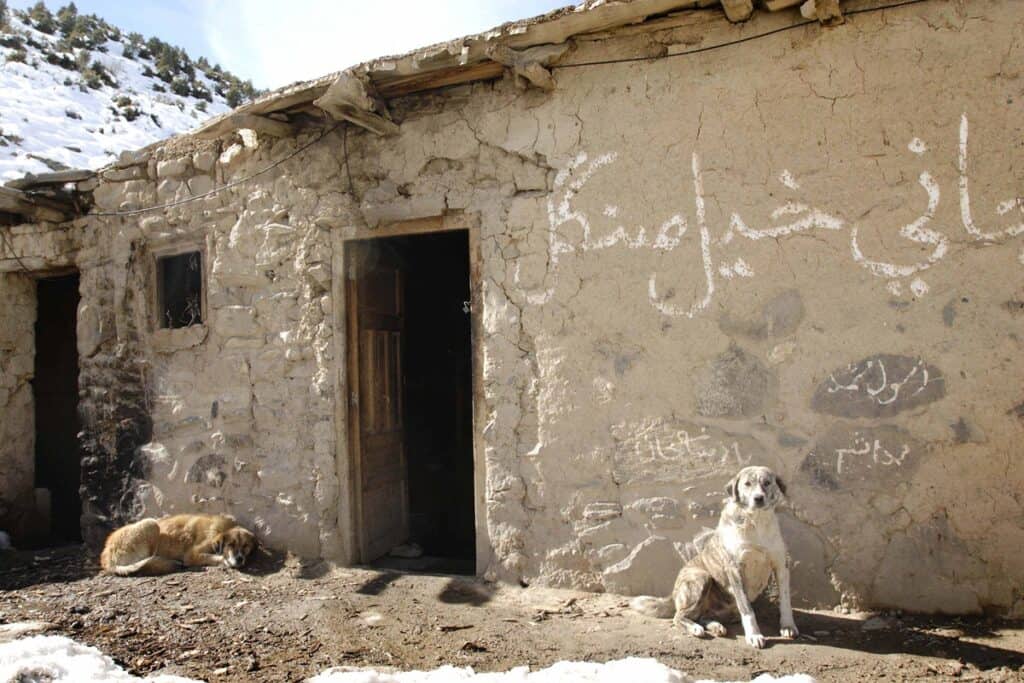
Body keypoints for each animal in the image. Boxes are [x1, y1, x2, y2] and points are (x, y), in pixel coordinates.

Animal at [100, 511, 258, 577]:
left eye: (245, 546)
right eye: (230, 544)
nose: (239, 559)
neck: (223, 528)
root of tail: (107, 555)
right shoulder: (192, 554)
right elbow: (215, 557)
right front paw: (226, 561)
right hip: (150, 523)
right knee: (147, 563)